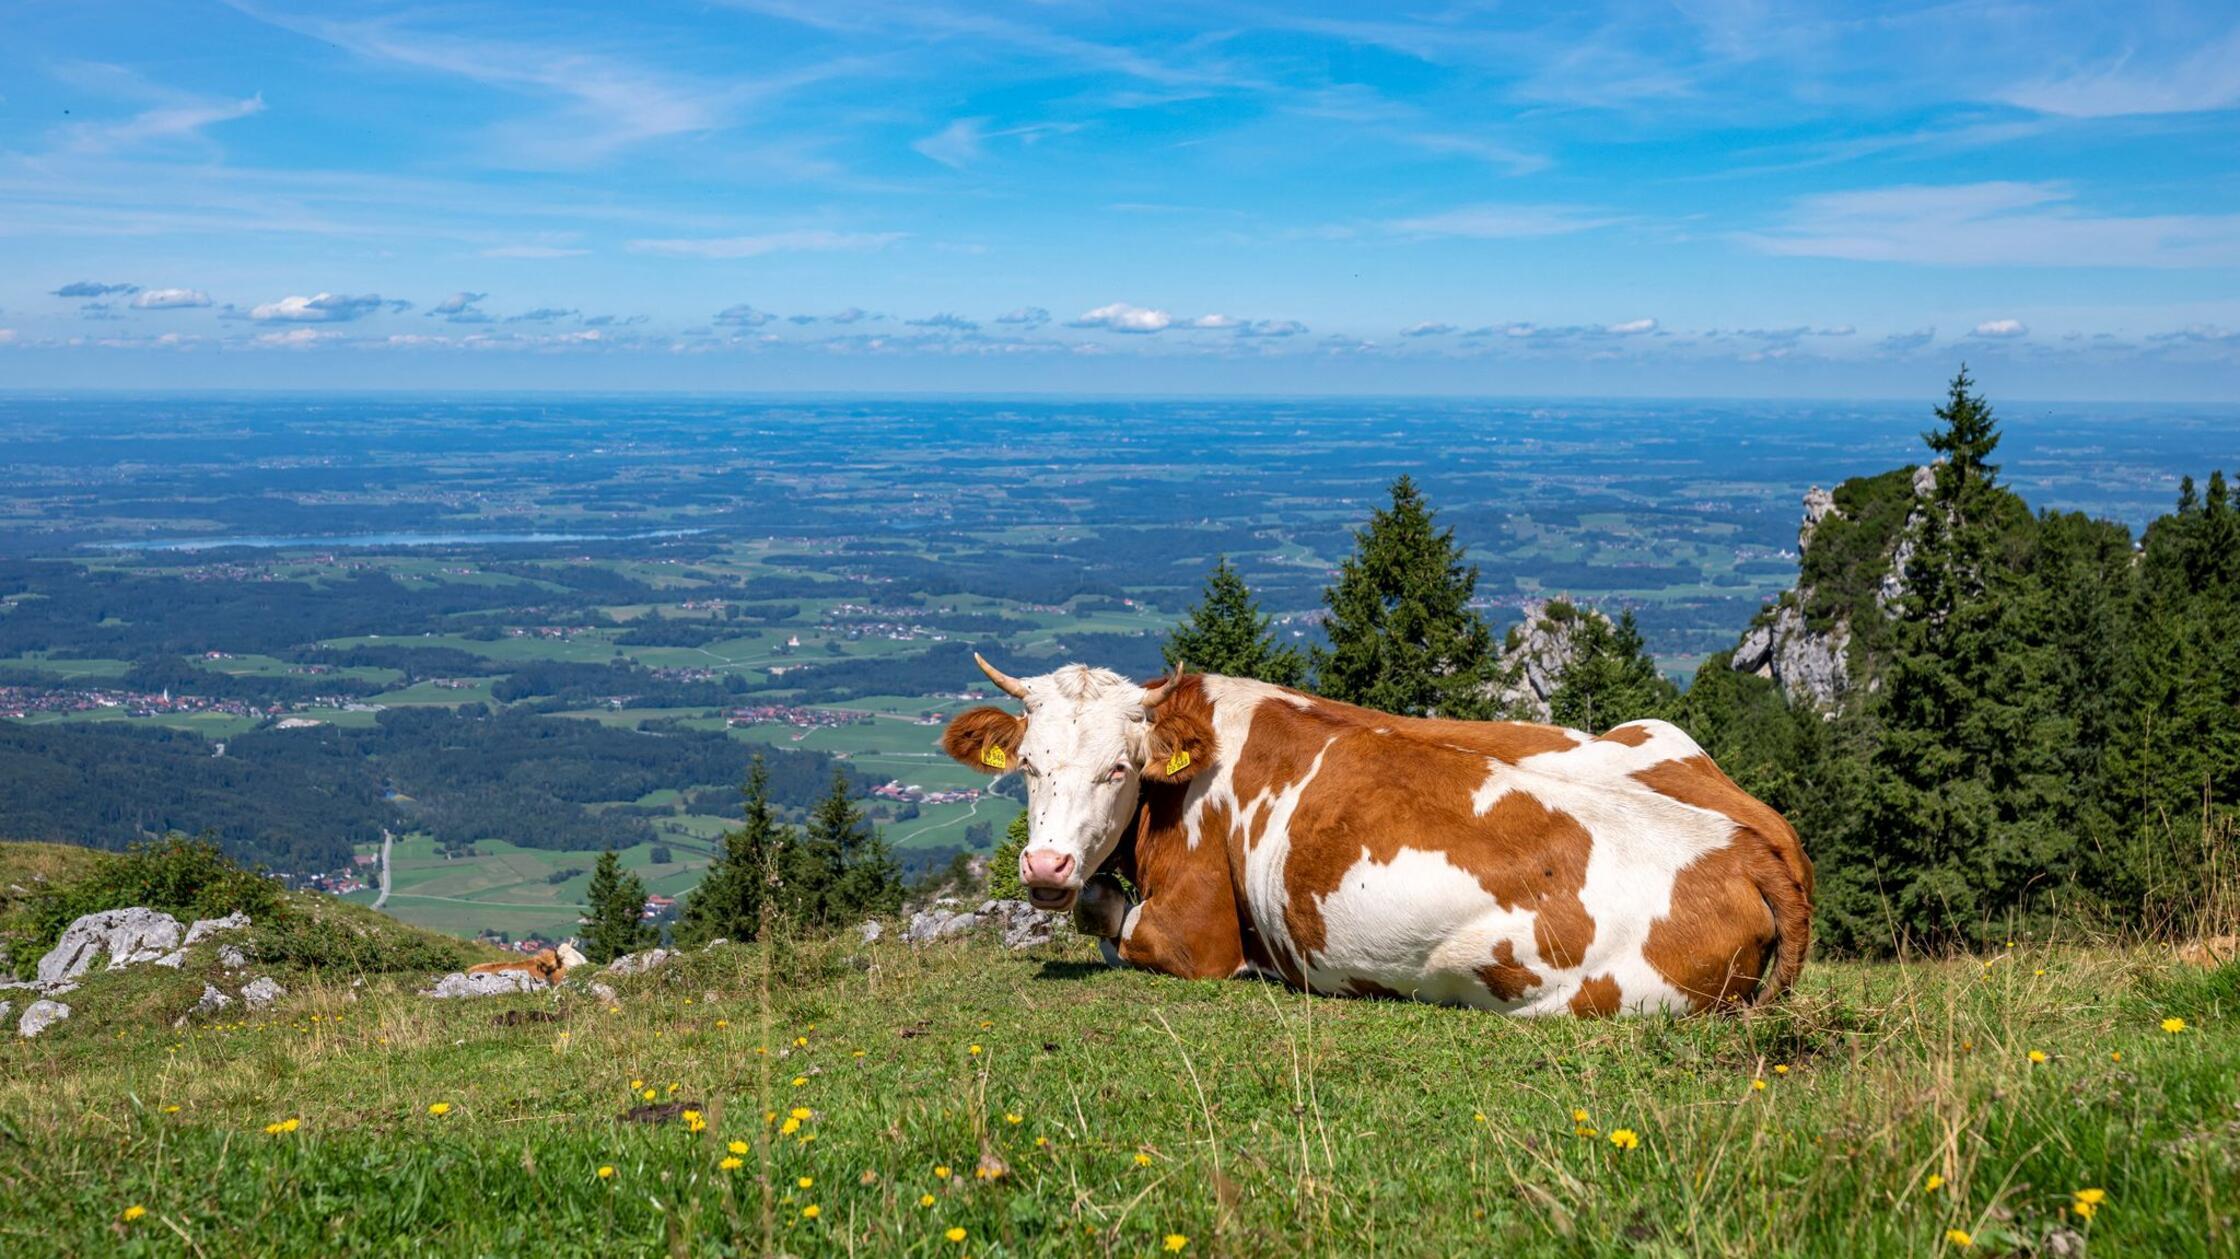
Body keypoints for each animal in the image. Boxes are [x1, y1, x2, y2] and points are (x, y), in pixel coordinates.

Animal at [941, 656, 1812, 1016]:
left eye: (1118, 768)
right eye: (1027, 763)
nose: (1044, 863)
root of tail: (1747, 840)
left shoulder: (1194, 936)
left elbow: (1103, 914)